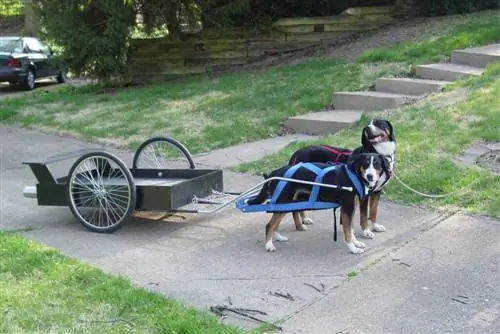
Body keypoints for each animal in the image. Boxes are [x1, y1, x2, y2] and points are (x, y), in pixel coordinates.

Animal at [248, 153, 392, 253]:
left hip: (285, 204)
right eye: (366, 164)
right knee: (269, 225)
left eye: (377, 165)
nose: (370, 176)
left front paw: (356, 243)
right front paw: (353, 248)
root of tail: (275, 172)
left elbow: (350, 229)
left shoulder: (351, 208)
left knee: (275, 224)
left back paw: (278, 237)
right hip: (283, 201)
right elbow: (347, 232)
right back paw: (269, 245)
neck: (354, 176)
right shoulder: (347, 208)